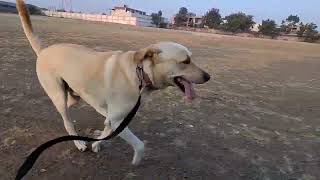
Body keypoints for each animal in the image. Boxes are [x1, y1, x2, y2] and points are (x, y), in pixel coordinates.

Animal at [16, 0, 210, 166]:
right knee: (67, 120)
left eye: (190, 59)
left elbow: (107, 129)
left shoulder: (117, 117)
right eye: (185, 61)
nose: (208, 76)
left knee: (72, 106)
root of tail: (44, 51)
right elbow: (139, 145)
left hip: (73, 93)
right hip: (58, 95)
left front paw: (97, 144)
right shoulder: (118, 118)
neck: (139, 75)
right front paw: (136, 160)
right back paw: (79, 143)